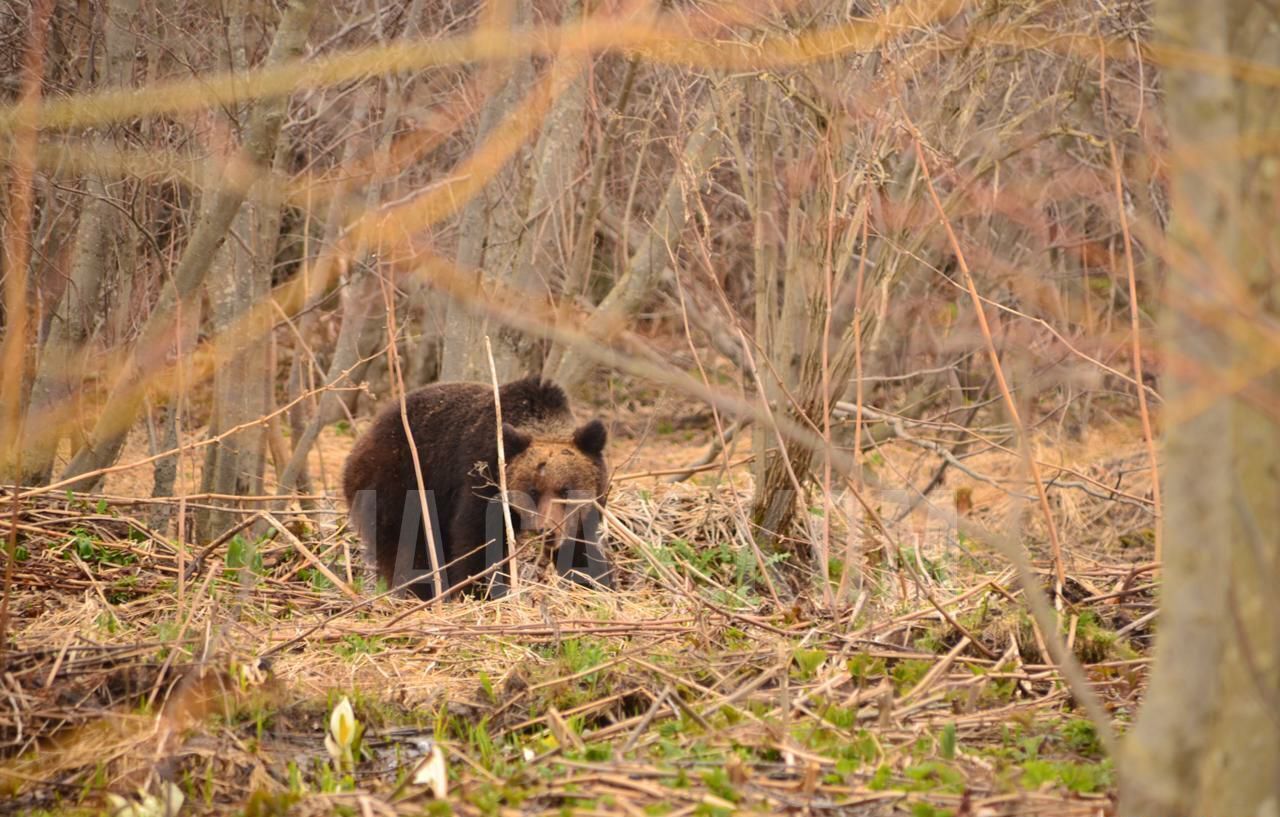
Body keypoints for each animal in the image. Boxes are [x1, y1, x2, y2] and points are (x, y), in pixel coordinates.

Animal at [343, 379, 611, 601]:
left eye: (565, 490)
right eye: (533, 491)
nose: (546, 530)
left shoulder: (583, 514)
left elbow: (582, 550)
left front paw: (594, 585)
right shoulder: (483, 479)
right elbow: (478, 541)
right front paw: (480, 592)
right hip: (399, 481)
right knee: (408, 544)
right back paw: (422, 591)